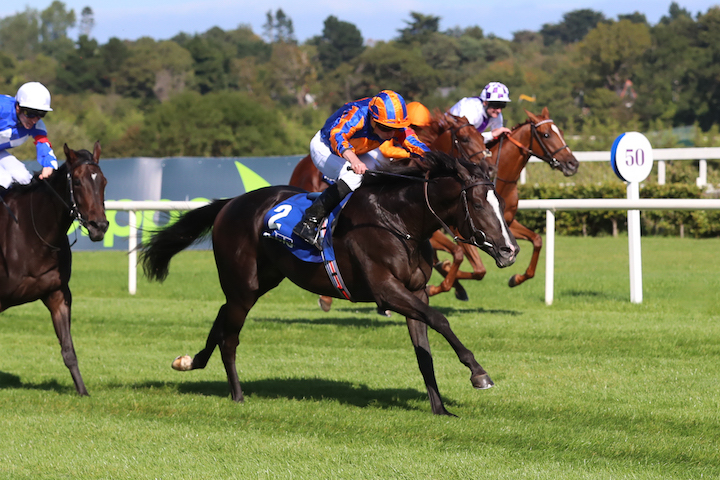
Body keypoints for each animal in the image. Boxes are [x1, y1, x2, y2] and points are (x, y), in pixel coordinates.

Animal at [0, 142, 109, 398]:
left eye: (104, 181)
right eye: (77, 182)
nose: (99, 226)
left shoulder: (58, 293)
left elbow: (68, 350)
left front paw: (83, 392)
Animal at [141, 152, 516, 414]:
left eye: (500, 202)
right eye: (478, 203)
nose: (510, 250)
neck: (397, 221)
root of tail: (230, 203)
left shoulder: (415, 292)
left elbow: (423, 350)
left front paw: (440, 409)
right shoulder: (386, 291)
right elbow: (441, 320)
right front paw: (478, 373)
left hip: (258, 282)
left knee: (221, 318)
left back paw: (190, 361)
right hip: (243, 287)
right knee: (230, 337)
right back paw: (237, 395)